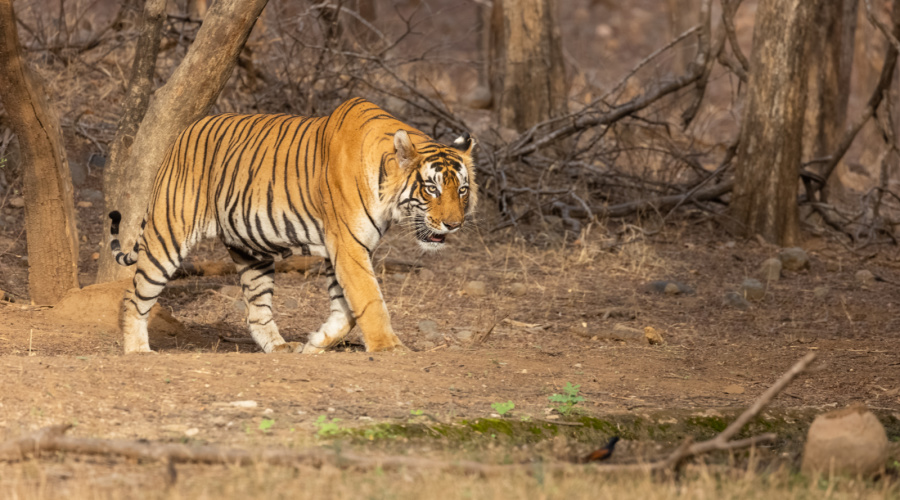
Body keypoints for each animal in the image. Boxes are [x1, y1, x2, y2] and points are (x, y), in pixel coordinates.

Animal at [108, 96, 474, 356]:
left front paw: (316, 342)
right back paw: (138, 351)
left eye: (462, 190)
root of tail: (182, 134)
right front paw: (390, 348)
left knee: (256, 312)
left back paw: (281, 347)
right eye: (432, 189)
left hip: (251, 251)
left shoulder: (343, 249)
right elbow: (369, 299)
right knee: (134, 295)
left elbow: (347, 309)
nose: (454, 224)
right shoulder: (348, 245)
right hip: (168, 234)